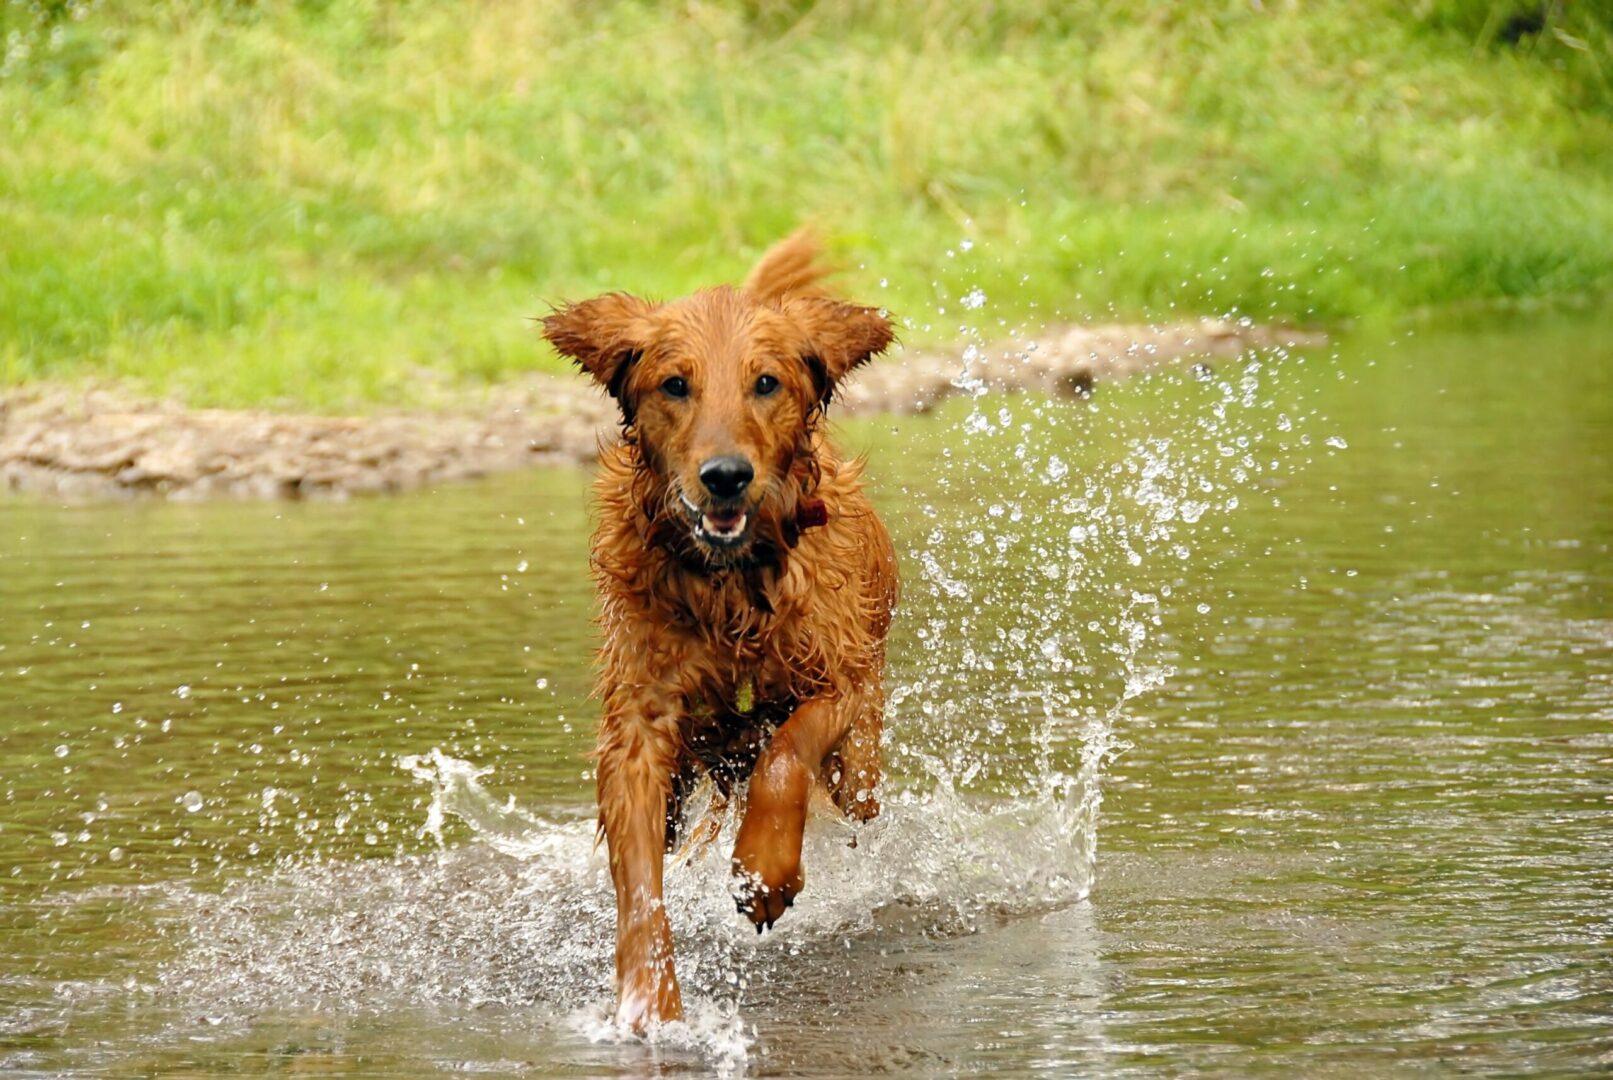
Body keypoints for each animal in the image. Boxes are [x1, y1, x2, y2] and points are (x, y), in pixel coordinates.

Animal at [538, 230, 896, 1031]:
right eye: (675, 385)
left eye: (766, 383)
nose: (725, 476)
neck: (730, 584)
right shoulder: (639, 728)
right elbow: (640, 882)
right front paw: (649, 1002)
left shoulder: (842, 681)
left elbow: (786, 754)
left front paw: (764, 871)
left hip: (859, 768)